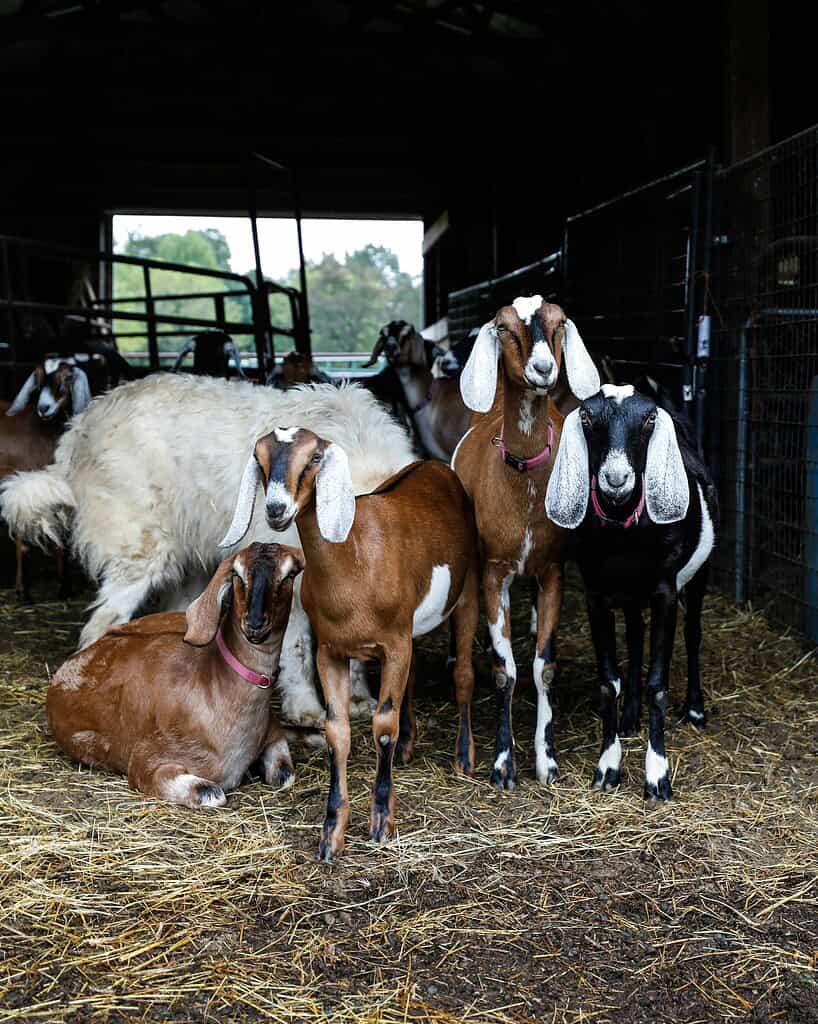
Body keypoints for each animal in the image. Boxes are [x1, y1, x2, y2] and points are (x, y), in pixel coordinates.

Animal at [1, 358, 92, 601]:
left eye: (67, 377)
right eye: (39, 378)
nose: (44, 408)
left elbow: (61, 541)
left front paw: (65, 589)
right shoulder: (21, 488)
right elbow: (23, 542)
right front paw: (22, 592)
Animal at [47, 542, 304, 806]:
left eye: (289, 575)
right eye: (238, 574)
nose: (254, 624)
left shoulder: (272, 731)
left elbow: (285, 774)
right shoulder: (147, 760)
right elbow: (212, 792)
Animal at [219, 428, 480, 860]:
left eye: (314, 458)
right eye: (260, 457)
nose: (275, 509)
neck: (355, 559)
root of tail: (433, 465)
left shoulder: (393, 644)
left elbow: (383, 725)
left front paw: (381, 822)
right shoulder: (332, 652)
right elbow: (336, 732)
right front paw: (331, 835)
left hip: (468, 594)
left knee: (462, 674)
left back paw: (464, 759)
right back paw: (408, 748)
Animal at [453, 297, 600, 790]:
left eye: (559, 323)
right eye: (503, 327)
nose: (543, 369)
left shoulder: (553, 571)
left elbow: (543, 668)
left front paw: (546, 759)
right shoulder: (494, 570)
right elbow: (506, 672)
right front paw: (502, 763)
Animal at [546, 384, 717, 799]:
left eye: (649, 418)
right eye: (587, 416)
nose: (616, 477)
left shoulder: (664, 591)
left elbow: (658, 683)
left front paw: (657, 776)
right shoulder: (596, 594)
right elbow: (609, 682)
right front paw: (608, 766)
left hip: (699, 573)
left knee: (693, 633)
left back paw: (695, 709)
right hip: (629, 595)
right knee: (637, 637)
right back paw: (630, 716)